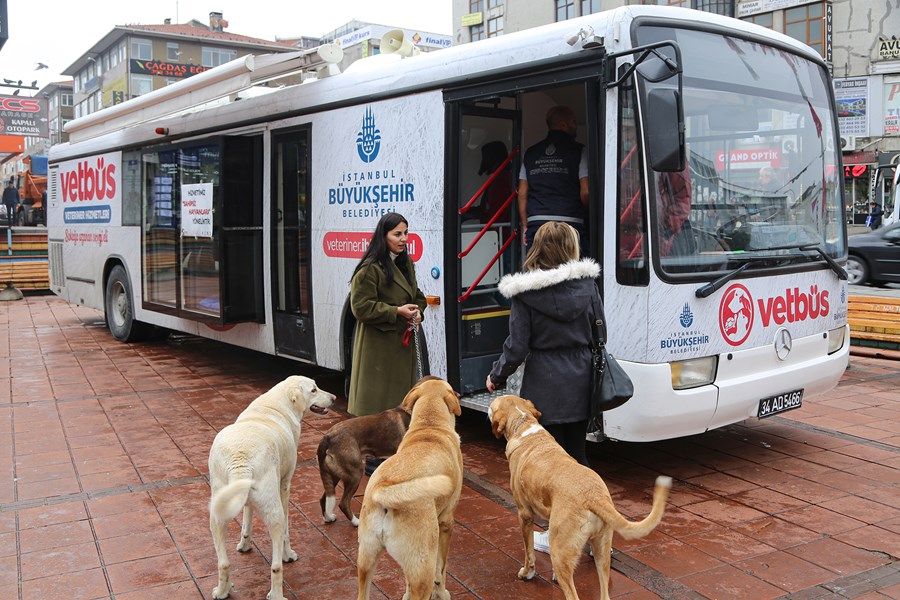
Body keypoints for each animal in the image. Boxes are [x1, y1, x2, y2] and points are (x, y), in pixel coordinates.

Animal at [209, 376, 336, 600]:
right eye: (314, 390)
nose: (334, 398)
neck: (276, 404)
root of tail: (240, 460)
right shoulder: (285, 486)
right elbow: (286, 531)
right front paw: (289, 554)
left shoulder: (246, 500)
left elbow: (247, 518)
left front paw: (245, 545)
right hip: (274, 512)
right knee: (275, 565)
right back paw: (276, 592)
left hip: (216, 514)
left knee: (223, 563)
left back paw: (222, 590)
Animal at [356, 378, 464, 600]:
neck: (430, 427)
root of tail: (384, 491)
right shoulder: (446, 522)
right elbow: (442, 569)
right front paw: (442, 592)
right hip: (423, 568)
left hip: (366, 560)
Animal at [488, 394, 672, 600]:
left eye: (492, 405)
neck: (524, 426)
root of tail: (593, 496)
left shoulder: (524, 515)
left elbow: (528, 552)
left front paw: (527, 573)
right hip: (602, 553)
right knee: (604, 592)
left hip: (560, 553)